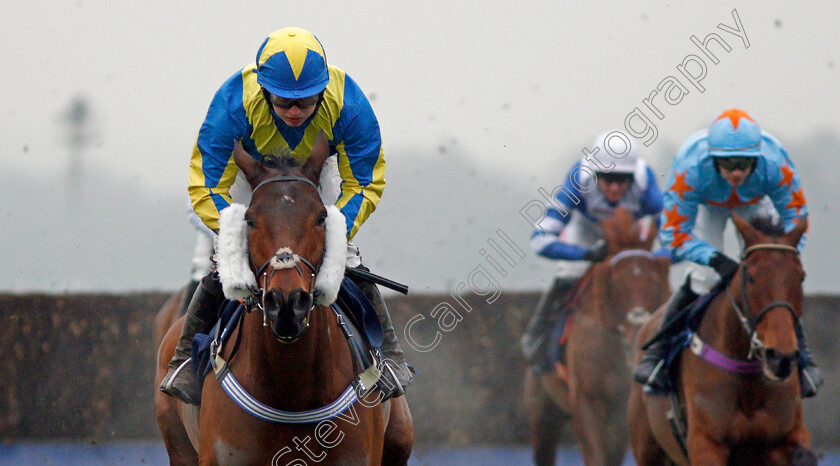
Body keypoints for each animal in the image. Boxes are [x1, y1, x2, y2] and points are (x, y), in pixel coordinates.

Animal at [524, 210, 668, 466]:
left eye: (654, 281)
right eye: (617, 284)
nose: (637, 332)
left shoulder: (620, 408)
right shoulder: (586, 398)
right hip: (542, 410)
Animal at [632, 215, 812, 466]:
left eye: (801, 277)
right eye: (750, 278)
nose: (781, 357)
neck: (748, 379)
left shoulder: (790, 433)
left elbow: (803, 453)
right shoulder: (706, 443)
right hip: (648, 449)